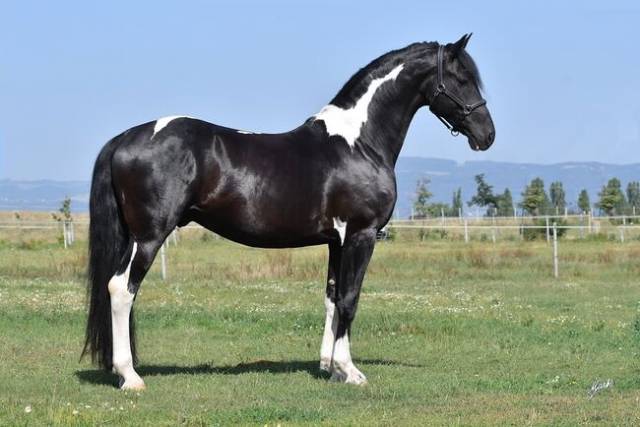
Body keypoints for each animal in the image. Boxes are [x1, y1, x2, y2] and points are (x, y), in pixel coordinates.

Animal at [82, 34, 495, 389]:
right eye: (461, 78)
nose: (486, 135)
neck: (359, 143)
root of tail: (126, 137)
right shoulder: (360, 235)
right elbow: (350, 299)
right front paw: (351, 371)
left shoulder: (336, 241)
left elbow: (332, 298)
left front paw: (330, 368)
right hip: (149, 236)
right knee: (121, 289)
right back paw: (130, 376)